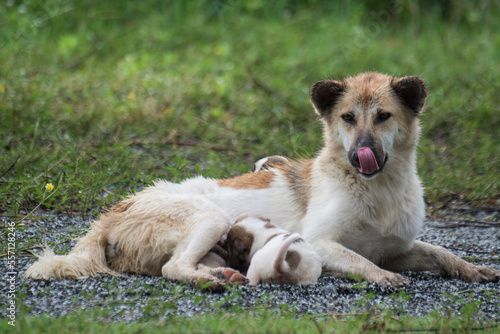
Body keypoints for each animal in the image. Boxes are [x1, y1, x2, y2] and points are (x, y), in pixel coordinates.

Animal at [27, 73, 500, 288]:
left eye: (383, 116)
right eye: (348, 118)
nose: (359, 153)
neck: (377, 189)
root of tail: (111, 212)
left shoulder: (398, 248)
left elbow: (440, 252)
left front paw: (473, 268)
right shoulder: (323, 243)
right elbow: (363, 262)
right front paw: (382, 279)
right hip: (210, 216)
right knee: (171, 268)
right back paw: (212, 281)